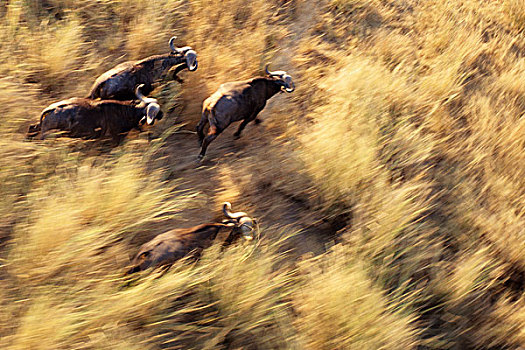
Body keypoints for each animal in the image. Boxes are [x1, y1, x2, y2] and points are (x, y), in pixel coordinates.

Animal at [26, 84, 162, 142]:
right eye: (157, 111)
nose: (162, 114)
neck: (125, 112)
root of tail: (52, 109)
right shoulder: (116, 136)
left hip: (41, 127)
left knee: (32, 127)